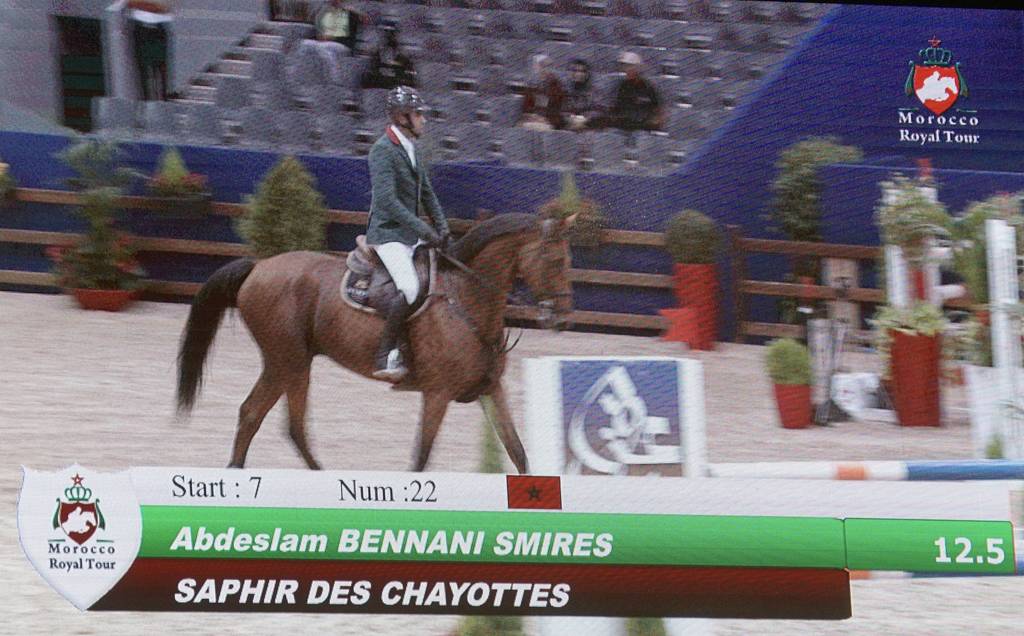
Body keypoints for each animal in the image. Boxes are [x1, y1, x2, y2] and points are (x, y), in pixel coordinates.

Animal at [174, 212, 576, 474]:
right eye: (555, 260)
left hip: (288, 363)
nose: (563, 315)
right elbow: (420, 460)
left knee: (268, 420)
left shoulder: (491, 389)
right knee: (270, 419)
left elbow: (518, 453)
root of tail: (258, 267)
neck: (465, 301)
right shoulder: (437, 394)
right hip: (288, 361)